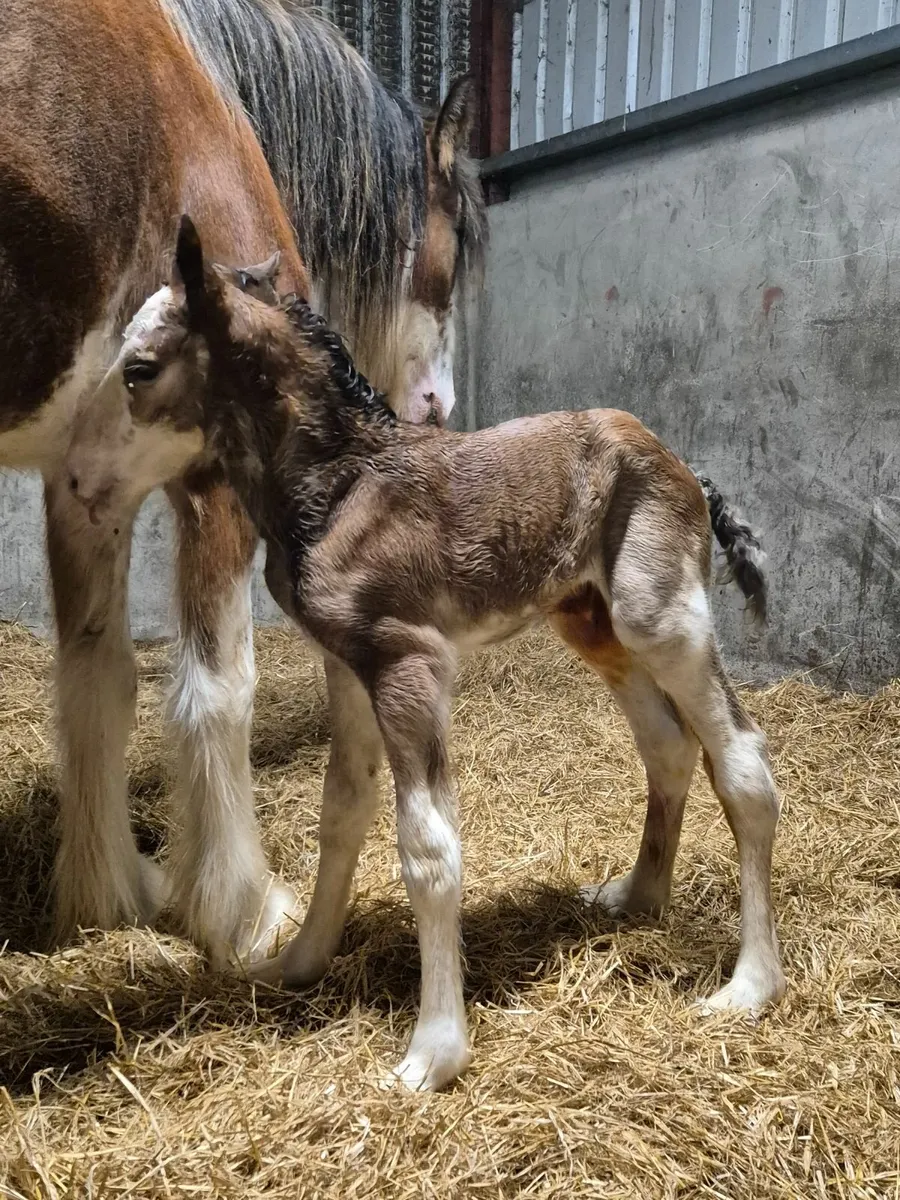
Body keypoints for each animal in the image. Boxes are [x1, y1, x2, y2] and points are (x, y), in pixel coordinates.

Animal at [0, 0, 484, 967]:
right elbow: (216, 692)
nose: (437, 407)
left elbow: (97, 683)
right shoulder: (215, 477)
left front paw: (110, 896)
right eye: (458, 247)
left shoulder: (84, 486)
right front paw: (244, 912)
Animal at [62, 218, 785, 1091]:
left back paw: (750, 984)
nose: (79, 481)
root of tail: (681, 462)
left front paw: (432, 1052)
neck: (342, 487)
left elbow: (428, 846)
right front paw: (300, 961)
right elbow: (342, 813)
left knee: (741, 760)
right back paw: (638, 897)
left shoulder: (407, 662)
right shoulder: (349, 664)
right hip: (592, 623)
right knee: (668, 747)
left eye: (139, 368)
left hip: (662, 617)